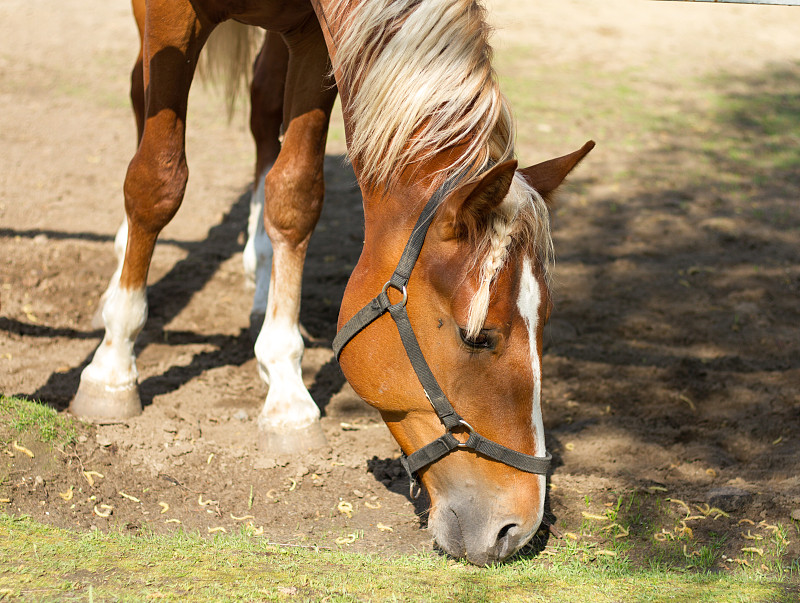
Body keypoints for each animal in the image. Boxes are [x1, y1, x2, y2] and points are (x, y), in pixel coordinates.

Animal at [70, 0, 592, 568]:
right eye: (476, 338)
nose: (520, 527)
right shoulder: (169, 17)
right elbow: (156, 182)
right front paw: (112, 366)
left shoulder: (310, 38)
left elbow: (295, 196)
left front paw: (285, 389)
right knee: (141, 97)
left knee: (261, 108)